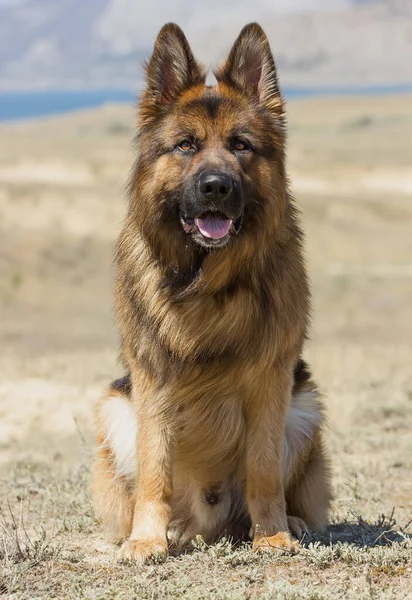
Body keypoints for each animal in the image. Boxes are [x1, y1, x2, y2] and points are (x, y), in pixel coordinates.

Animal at [91, 22, 332, 564]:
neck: (208, 283)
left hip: (305, 406)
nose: (216, 186)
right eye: (185, 146)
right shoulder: (152, 383)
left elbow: (263, 470)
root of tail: (209, 523)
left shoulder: (271, 381)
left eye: (241, 145)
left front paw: (272, 534)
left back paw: (292, 522)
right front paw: (146, 539)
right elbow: (155, 469)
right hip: (116, 406)